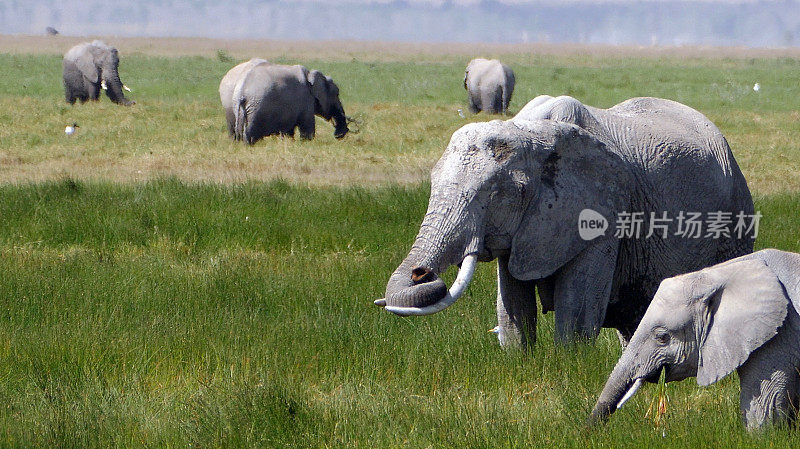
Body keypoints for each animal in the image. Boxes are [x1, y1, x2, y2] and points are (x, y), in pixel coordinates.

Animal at [378, 96, 752, 352]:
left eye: (495, 193)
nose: (422, 275)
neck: (532, 132)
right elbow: (512, 310)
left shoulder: (602, 210)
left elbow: (577, 316)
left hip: (735, 215)